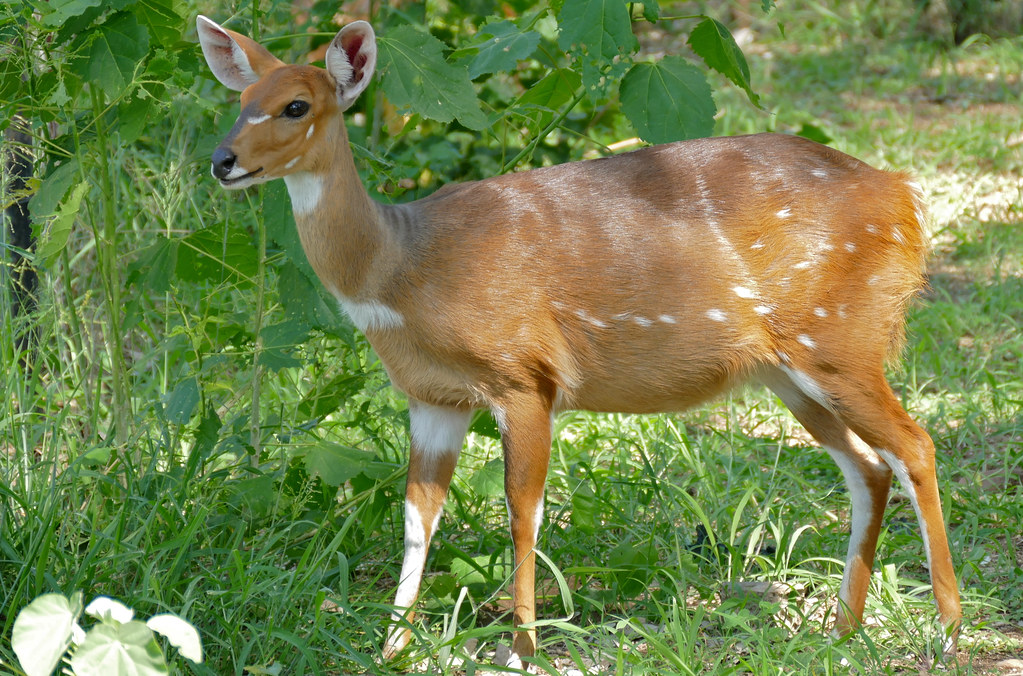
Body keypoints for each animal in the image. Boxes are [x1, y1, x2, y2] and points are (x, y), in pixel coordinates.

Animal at [197, 14, 957, 662]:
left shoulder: (524, 375)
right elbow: (417, 519)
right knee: (868, 466)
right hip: (786, 370)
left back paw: (946, 632)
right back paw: (840, 630)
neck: (402, 271)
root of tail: (904, 198)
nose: (222, 160)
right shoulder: (432, 399)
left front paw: (519, 650)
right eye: (240, 100)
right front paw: (391, 648)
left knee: (915, 445)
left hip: (840, 339)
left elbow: (522, 513)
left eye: (297, 106)